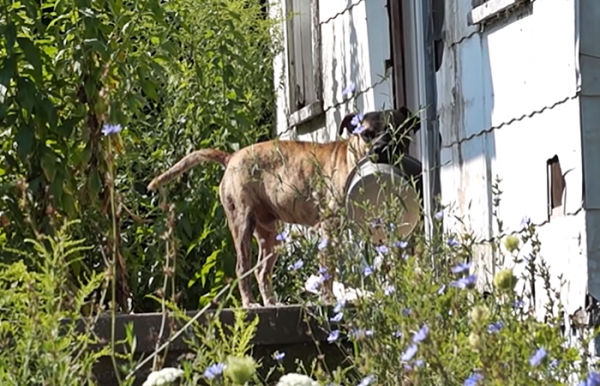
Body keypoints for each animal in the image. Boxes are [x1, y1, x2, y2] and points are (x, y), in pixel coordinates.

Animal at [148, 108, 420, 308]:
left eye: (400, 132)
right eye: (366, 134)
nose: (382, 148)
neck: (351, 158)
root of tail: (231, 158)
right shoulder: (328, 229)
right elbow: (328, 269)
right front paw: (328, 298)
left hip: (270, 236)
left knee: (261, 272)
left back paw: (271, 302)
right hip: (242, 224)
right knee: (242, 268)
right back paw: (250, 303)